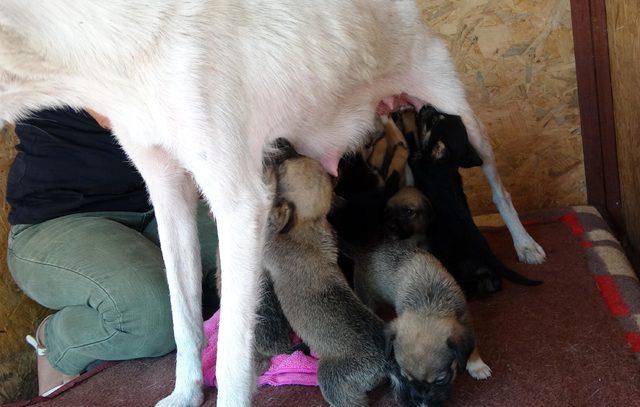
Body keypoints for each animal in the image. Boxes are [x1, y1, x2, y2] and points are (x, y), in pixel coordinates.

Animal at [260, 150, 390, 407]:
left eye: (284, 167)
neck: (309, 223)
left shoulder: (270, 242)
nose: (282, 147)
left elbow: (269, 217)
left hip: (333, 378)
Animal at [356, 239, 490, 407]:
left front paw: (476, 364)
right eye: (405, 378)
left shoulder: (465, 319)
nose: (422, 404)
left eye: (441, 379)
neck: (429, 306)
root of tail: (363, 250)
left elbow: (473, 344)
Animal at [404, 107, 540, 298]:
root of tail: (488, 256)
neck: (446, 167)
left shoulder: (418, 160)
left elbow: (412, 146)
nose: (425, 107)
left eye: (434, 121)